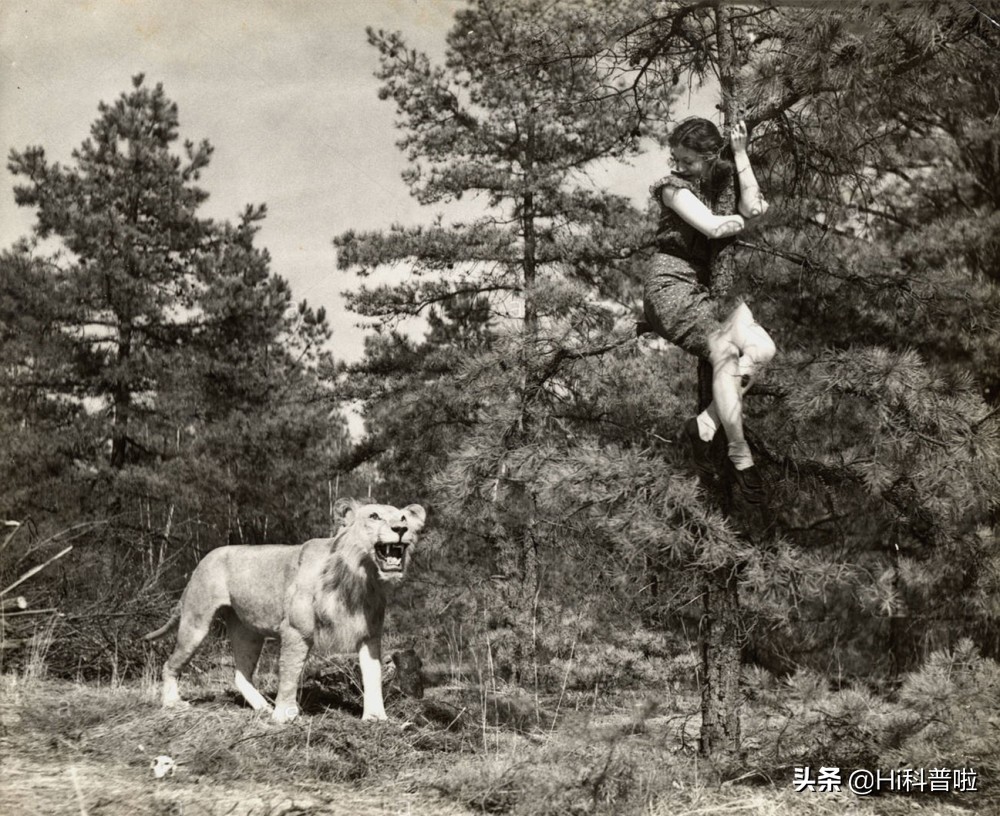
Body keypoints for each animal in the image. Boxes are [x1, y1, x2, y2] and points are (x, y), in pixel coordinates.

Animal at [143, 498, 424, 720]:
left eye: (402, 517)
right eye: (374, 516)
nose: (401, 529)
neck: (360, 579)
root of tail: (204, 558)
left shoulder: (370, 635)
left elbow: (373, 675)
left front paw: (376, 717)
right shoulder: (296, 630)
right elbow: (290, 672)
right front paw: (285, 715)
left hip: (248, 633)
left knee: (240, 675)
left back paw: (263, 708)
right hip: (196, 622)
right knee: (170, 664)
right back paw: (173, 703)